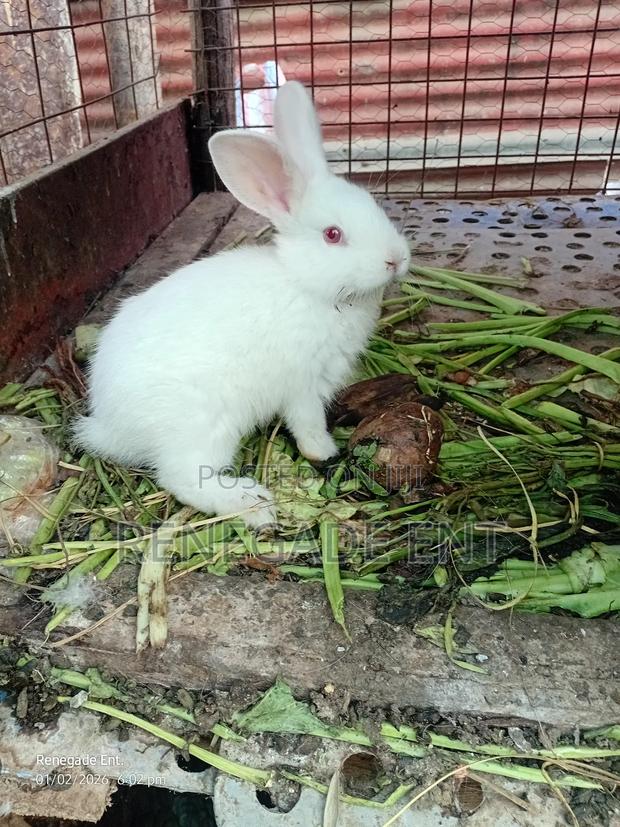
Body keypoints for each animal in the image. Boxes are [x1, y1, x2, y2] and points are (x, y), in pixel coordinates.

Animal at [74, 81, 411, 529]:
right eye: (333, 235)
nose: (396, 259)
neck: (306, 285)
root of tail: (109, 426)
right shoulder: (303, 385)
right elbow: (307, 424)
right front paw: (325, 451)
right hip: (205, 425)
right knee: (182, 478)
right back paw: (251, 503)